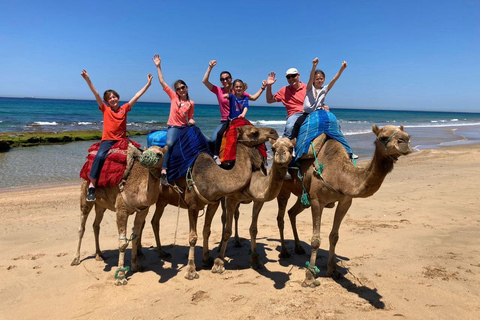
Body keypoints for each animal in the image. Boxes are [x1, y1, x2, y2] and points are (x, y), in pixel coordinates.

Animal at [211, 136, 296, 272]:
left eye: (291, 147)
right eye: (273, 148)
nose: (281, 154)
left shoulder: (258, 200)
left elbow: (253, 229)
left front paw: (256, 260)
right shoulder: (231, 198)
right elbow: (227, 231)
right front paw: (219, 262)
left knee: (236, 214)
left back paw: (237, 241)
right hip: (223, 194)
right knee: (224, 217)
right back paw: (220, 246)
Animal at [276, 125, 410, 288]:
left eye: (408, 135)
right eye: (383, 137)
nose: (405, 141)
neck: (339, 174)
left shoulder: (345, 202)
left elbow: (334, 236)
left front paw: (332, 270)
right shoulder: (316, 201)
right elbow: (315, 240)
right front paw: (309, 277)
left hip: (303, 197)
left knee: (292, 212)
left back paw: (299, 248)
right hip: (283, 188)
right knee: (281, 217)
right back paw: (284, 252)